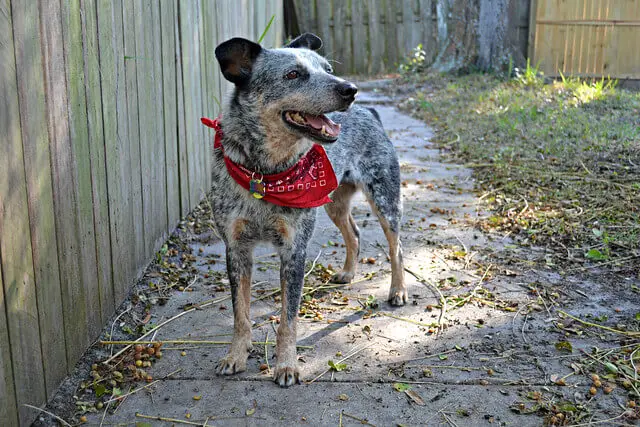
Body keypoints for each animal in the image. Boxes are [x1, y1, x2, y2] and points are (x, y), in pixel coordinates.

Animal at [202, 32, 408, 388]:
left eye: (327, 69)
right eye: (293, 74)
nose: (350, 89)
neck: (266, 173)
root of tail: (370, 112)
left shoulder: (294, 249)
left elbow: (288, 319)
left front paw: (286, 366)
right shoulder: (236, 248)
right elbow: (241, 314)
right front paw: (235, 355)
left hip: (385, 199)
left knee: (396, 248)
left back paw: (398, 291)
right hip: (334, 204)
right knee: (354, 232)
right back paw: (348, 272)